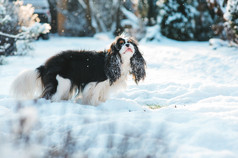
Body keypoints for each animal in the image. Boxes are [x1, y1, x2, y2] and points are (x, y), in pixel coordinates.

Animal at [10, 36, 146, 105]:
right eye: (121, 44)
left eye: (131, 43)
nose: (127, 45)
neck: (117, 60)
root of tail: (45, 65)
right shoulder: (96, 83)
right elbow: (94, 95)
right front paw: (95, 105)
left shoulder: (106, 86)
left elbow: (102, 95)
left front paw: (102, 102)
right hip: (62, 83)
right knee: (50, 97)